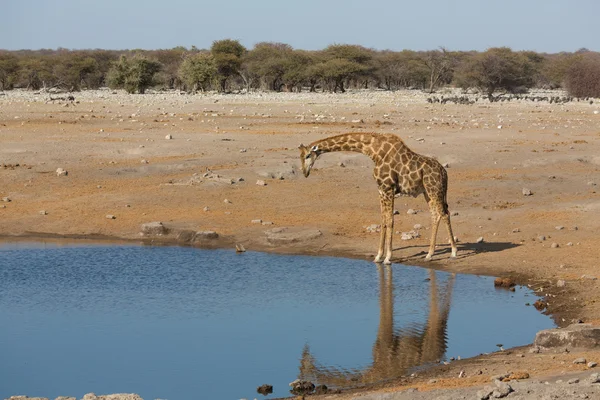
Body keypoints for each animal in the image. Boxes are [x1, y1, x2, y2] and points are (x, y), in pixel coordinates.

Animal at [298, 132, 458, 262]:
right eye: (300, 157)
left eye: (307, 156)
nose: (305, 173)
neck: (374, 152)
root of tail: (444, 173)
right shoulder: (381, 190)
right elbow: (383, 220)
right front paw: (378, 256)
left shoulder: (388, 188)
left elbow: (390, 220)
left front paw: (388, 257)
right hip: (428, 192)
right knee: (438, 214)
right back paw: (431, 254)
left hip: (434, 190)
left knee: (443, 214)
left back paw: (452, 252)